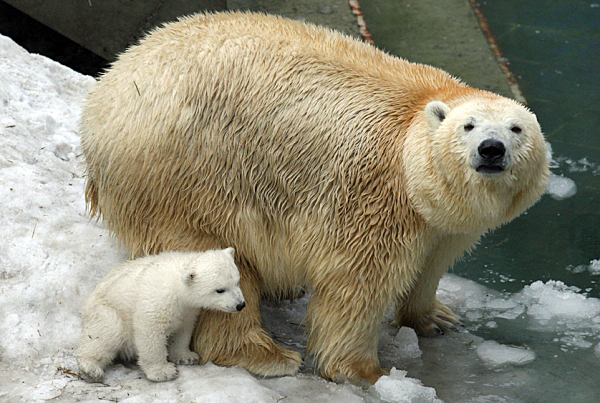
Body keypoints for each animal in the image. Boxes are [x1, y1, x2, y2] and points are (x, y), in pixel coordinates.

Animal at [78, 11, 548, 386]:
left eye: (516, 128)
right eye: (469, 125)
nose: (491, 149)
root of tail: (102, 100)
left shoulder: (442, 222)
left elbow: (432, 262)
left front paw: (435, 318)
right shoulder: (373, 195)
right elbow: (357, 283)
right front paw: (367, 372)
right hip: (188, 177)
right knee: (215, 258)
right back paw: (267, 354)